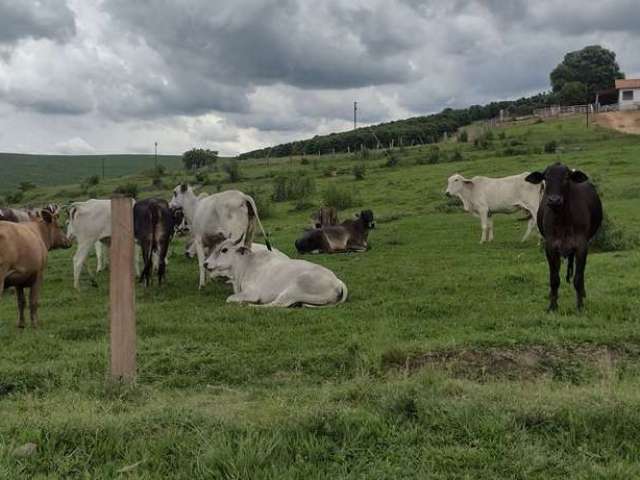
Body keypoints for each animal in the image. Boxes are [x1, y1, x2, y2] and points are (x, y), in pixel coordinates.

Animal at [204, 236, 348, 308]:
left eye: (224, 250)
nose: (205, 263)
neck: (245, 266)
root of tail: (338, 282)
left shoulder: (252, 293)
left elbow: (229, 298)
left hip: (292, 291)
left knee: (277, 304)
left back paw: (250, 305)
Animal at [524, 161, 604, 312]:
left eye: (566, 177)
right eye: (546, 178)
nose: (554, 200)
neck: (563, 220)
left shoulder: (581, 246)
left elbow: (578, 278)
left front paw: (580, 306)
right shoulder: (550, 246)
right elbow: (554, 279)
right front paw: (552, 306)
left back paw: (583, 294)